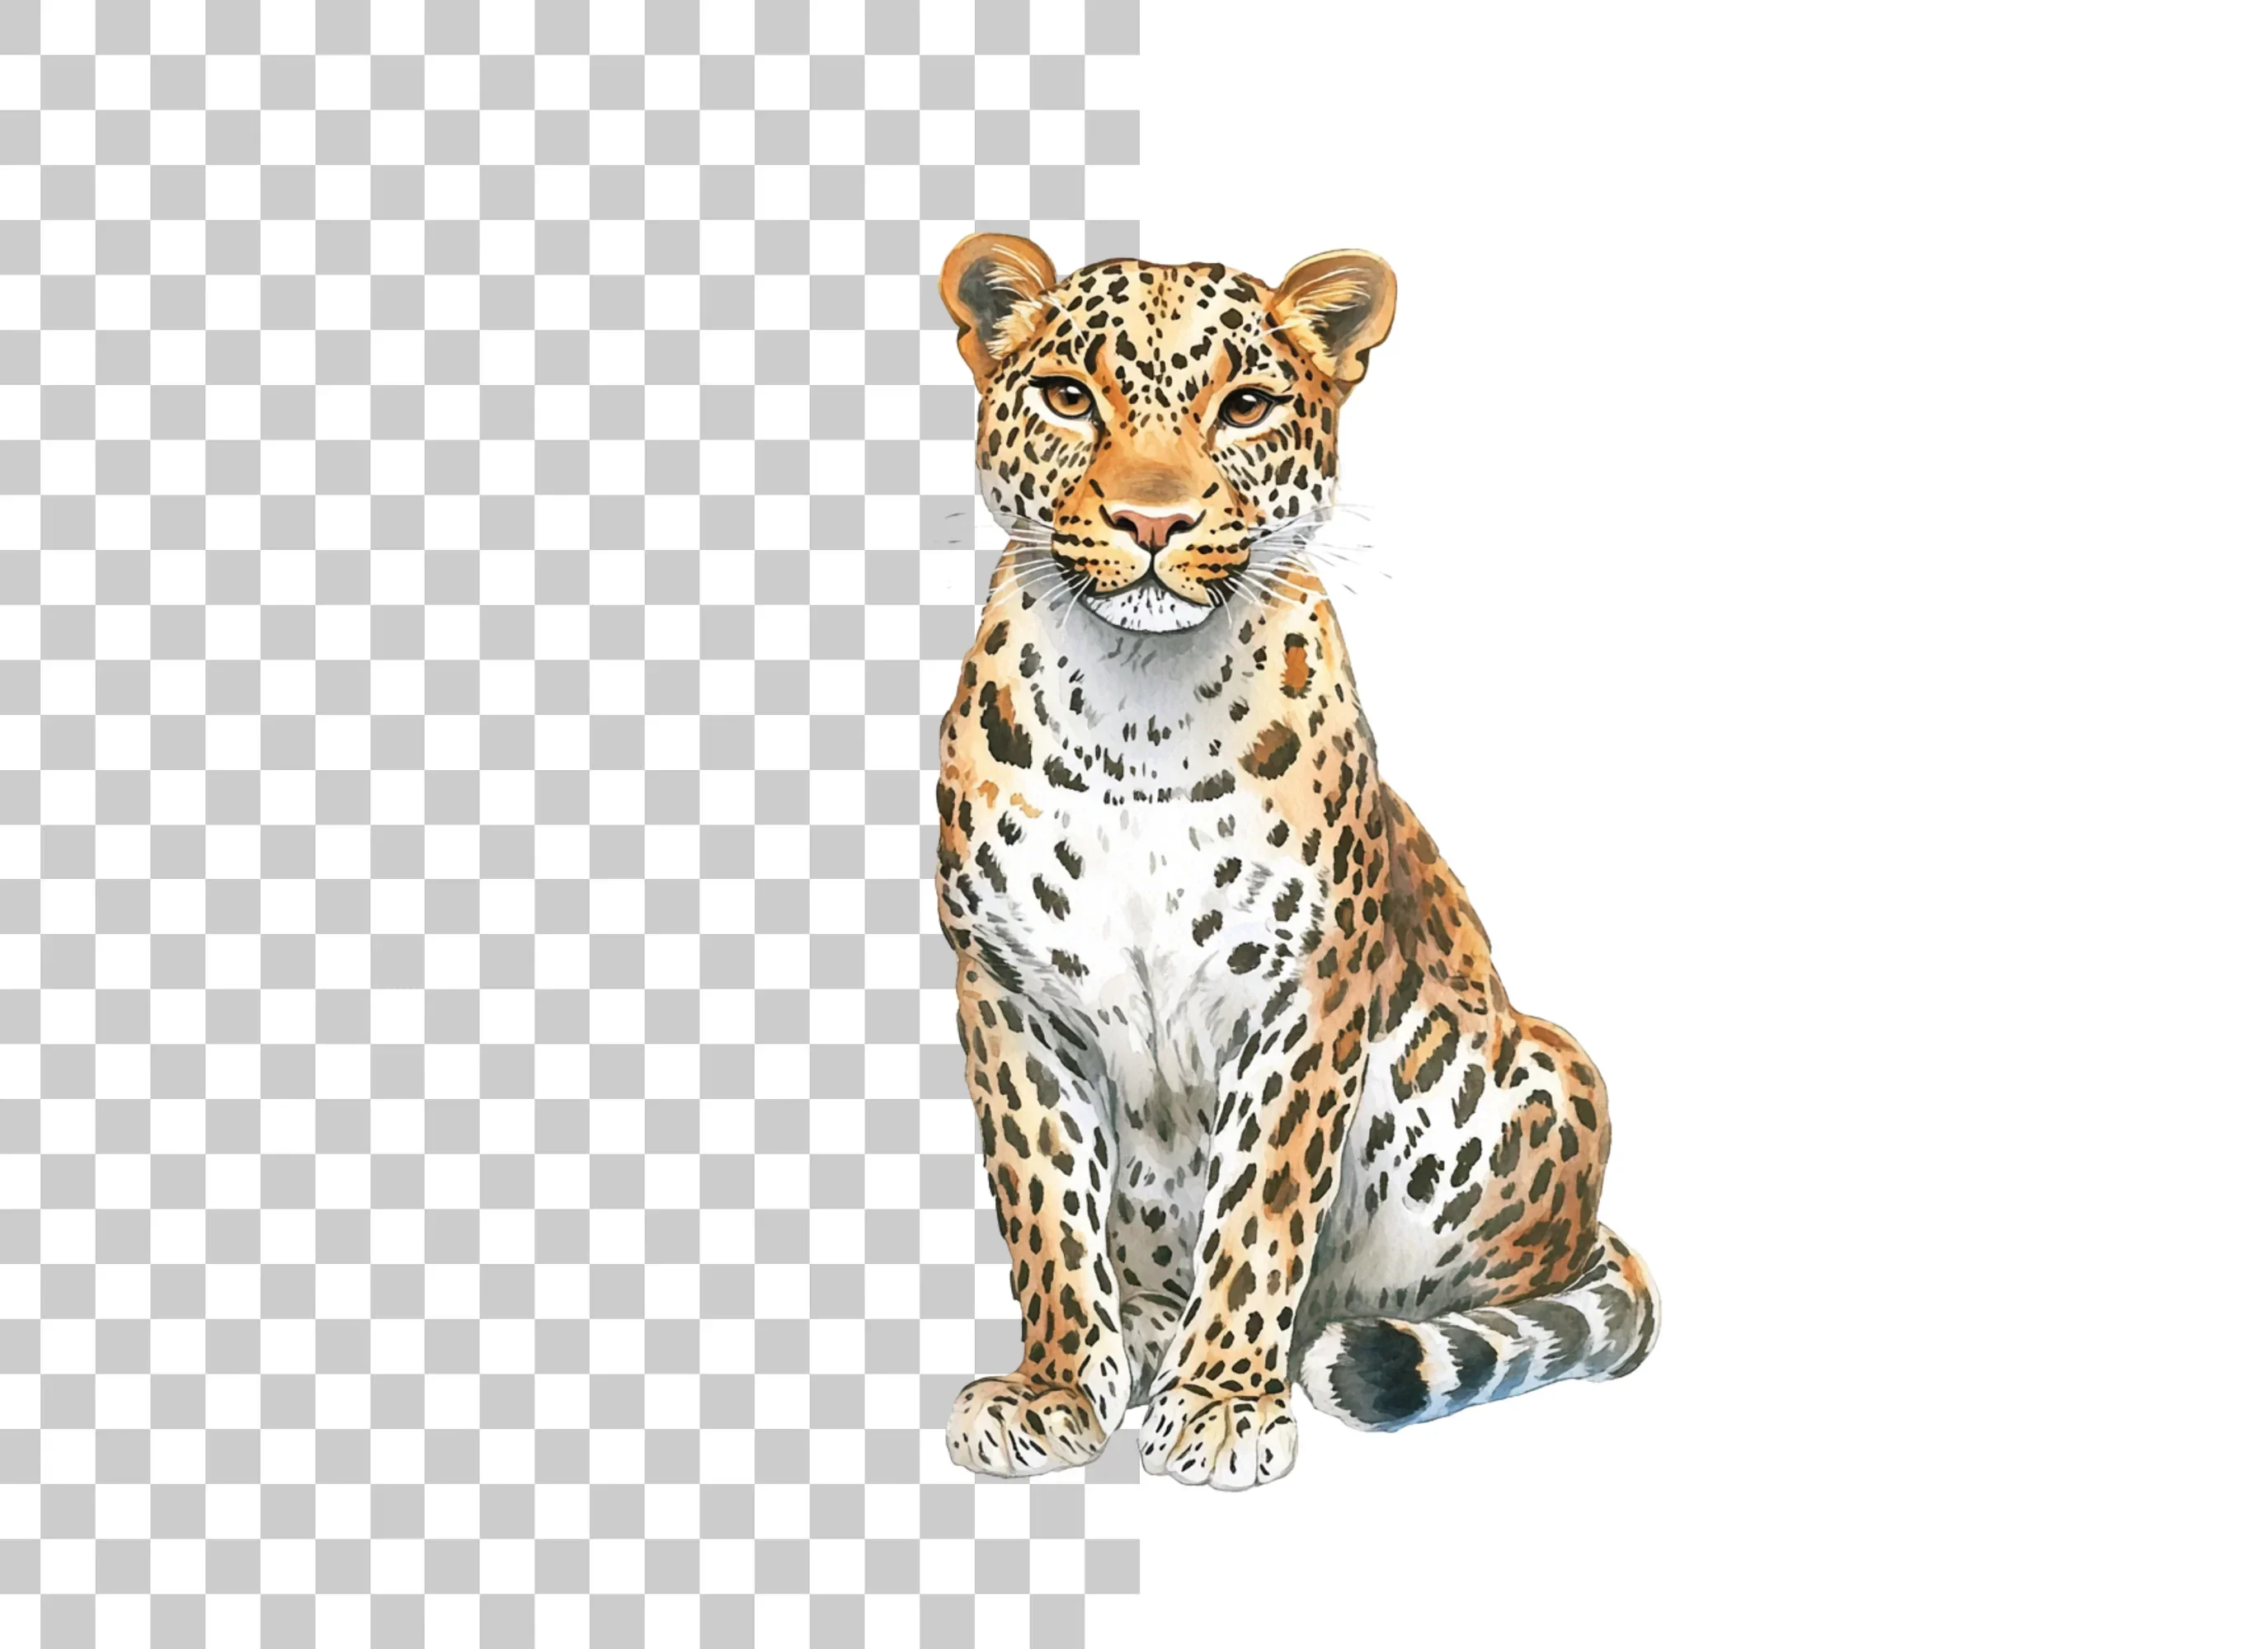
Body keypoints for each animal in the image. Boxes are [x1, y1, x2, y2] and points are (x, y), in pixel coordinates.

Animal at [931, 233, 1659, 1491]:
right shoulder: (1006, 990)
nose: (1153, 521)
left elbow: (1263, 1202)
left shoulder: (1304, 988)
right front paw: (1056, 1386)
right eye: (1069, 398)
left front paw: (1223, 1403)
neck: (1134, 713)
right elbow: (1044, 1206)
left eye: (1246, 406)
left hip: (1545, 1072)